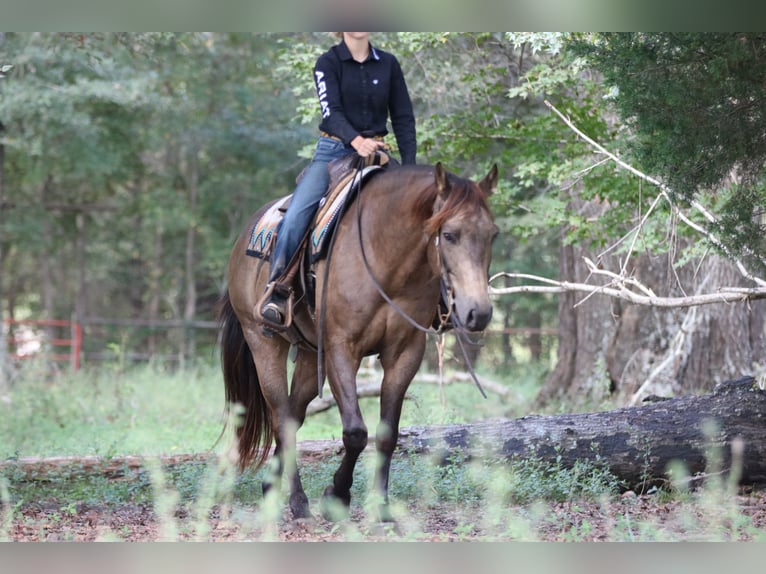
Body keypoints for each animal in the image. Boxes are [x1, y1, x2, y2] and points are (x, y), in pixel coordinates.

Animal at [217, 159, 499, 521]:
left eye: (493, 234)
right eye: (449, 235)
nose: (479, 313)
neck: (385, 257)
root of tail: (244, 240)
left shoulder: (405, 353)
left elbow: (387, 434)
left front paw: (382, 509)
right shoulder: (341, 349)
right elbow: (355, 432)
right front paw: (336, 496)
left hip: (309, 355)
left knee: (293, 417)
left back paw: (276, 489)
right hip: (263, 342)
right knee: (281, 416)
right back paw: (298, 501)